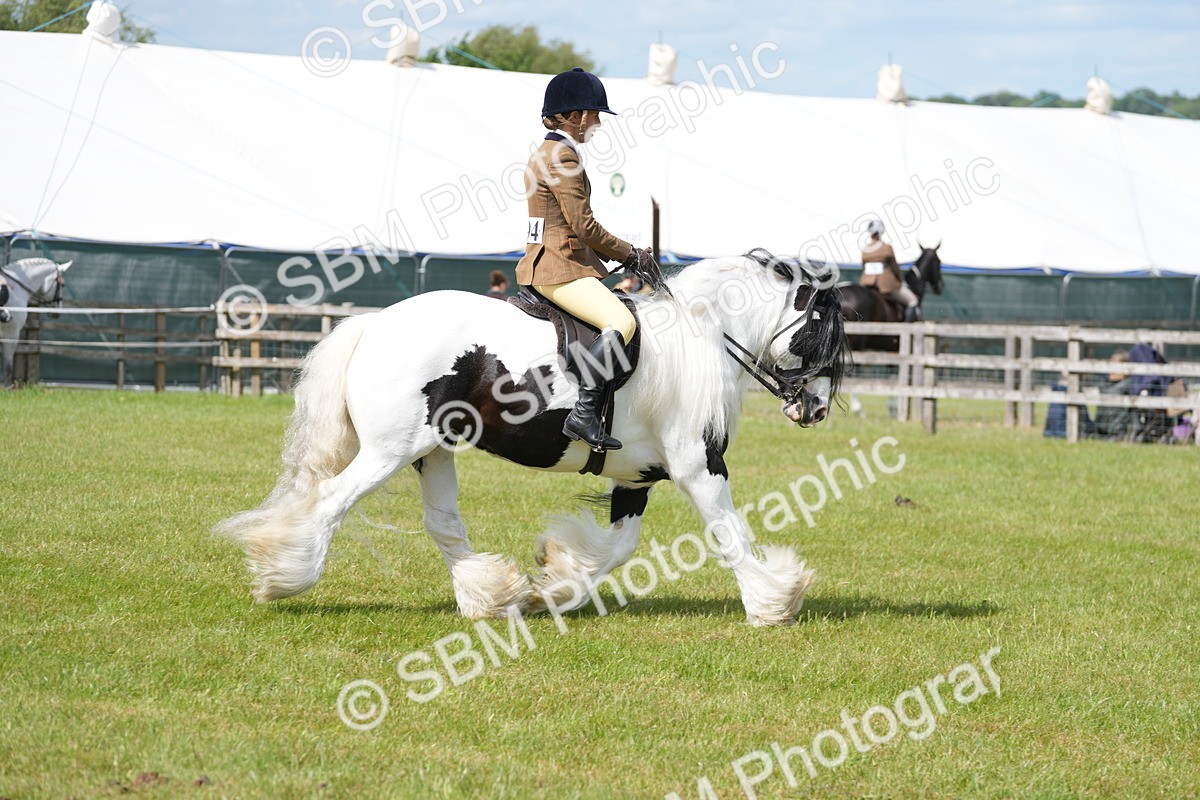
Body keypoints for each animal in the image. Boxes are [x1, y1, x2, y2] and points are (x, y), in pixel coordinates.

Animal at [1, 257, 71, 388]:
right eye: (63, 285)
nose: (58, 312)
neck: (16, 290)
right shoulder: (11, 335)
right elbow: (8, 366)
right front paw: (8, 388)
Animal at [217, 250, 850, 626]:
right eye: (820, 326)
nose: (816, 409)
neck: (703, 332)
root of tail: (376, 323)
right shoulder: (700, 465)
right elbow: (729, 533)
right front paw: (773, 601)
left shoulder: (639, 475)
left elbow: (618, 547)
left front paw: (556, 580)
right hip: (389, 451)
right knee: (330, 501)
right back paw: (284, 577)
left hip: (432, 450)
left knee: (443, 524)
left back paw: (491, 596)